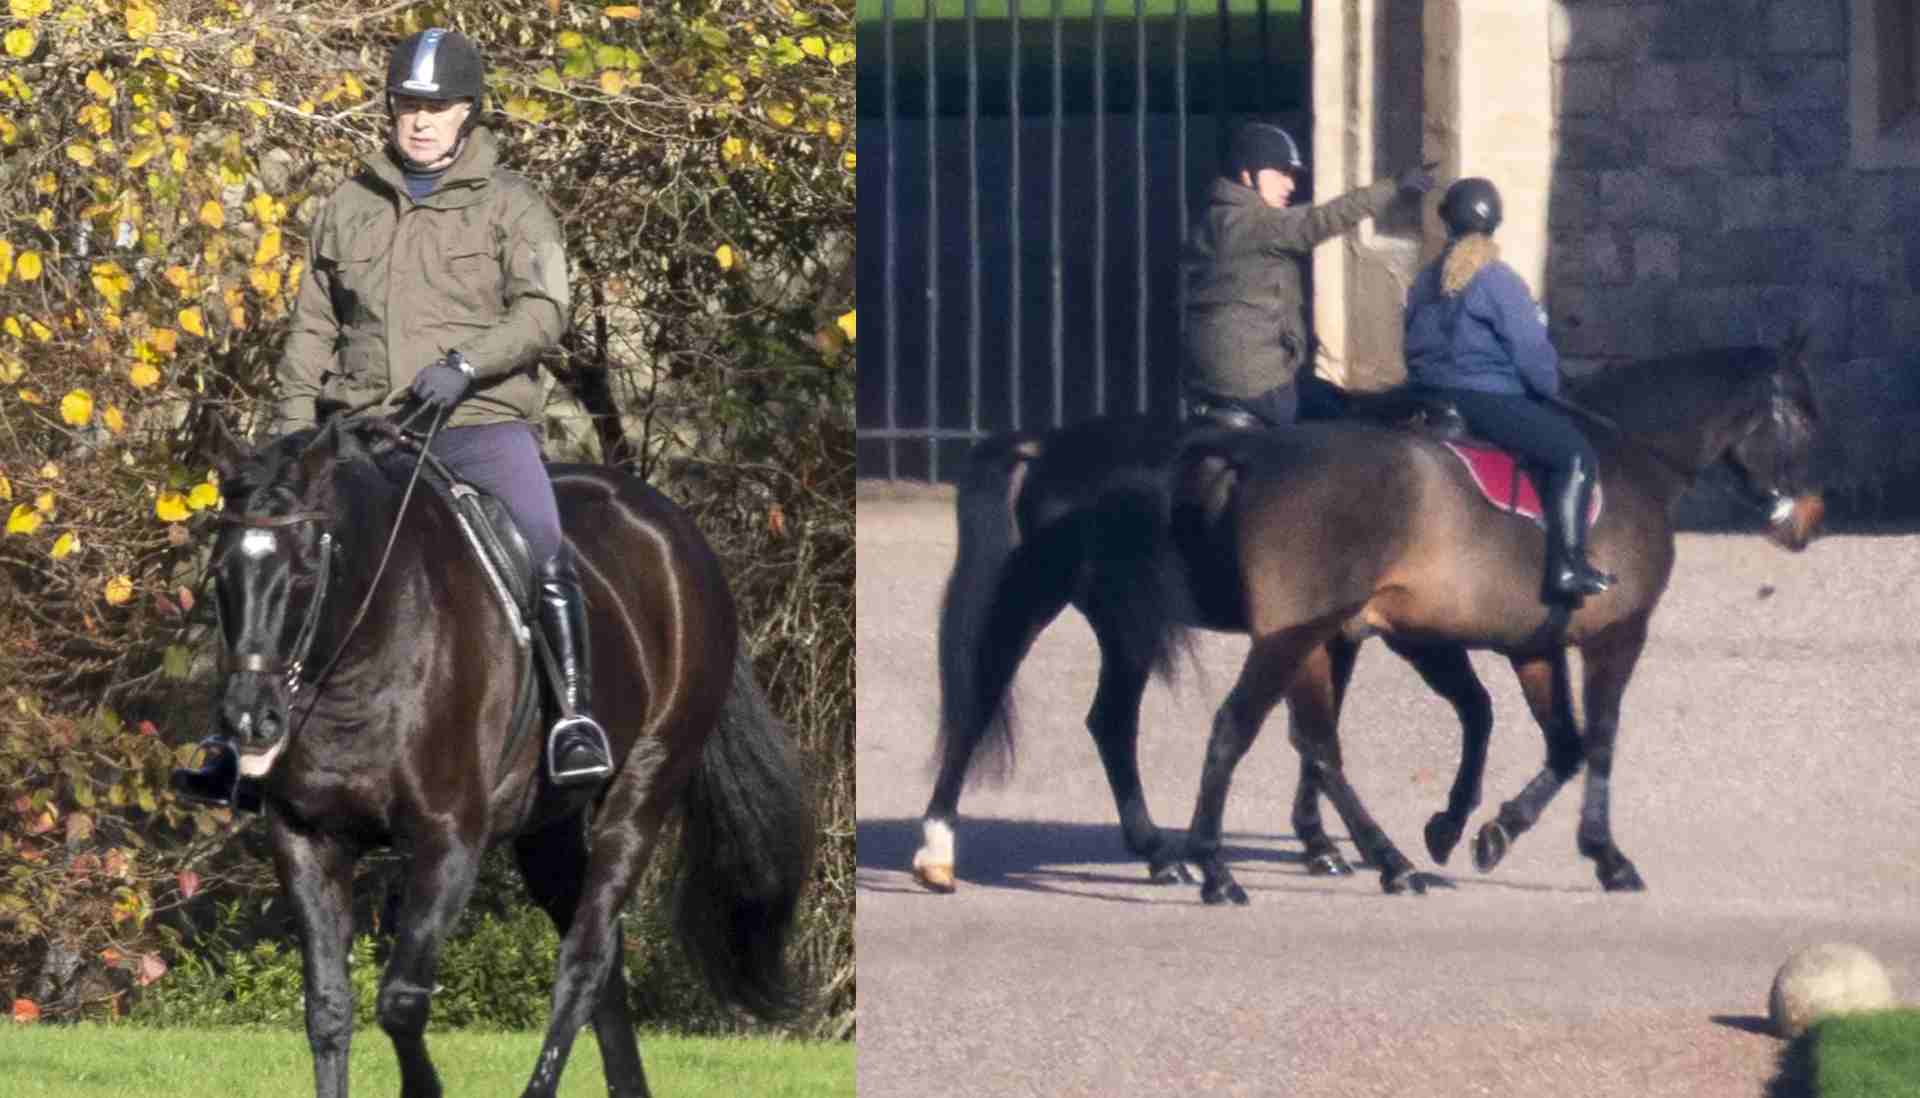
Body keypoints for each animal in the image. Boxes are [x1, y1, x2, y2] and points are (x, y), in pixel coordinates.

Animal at [198, 414, 813, 1098]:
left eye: (306, 571)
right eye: (220, 574)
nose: (250, 719)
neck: (362, 654)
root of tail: (676, 532)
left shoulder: (449, 840)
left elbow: (401, 1000)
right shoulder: (305, 837)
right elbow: (329, 1008)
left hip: (643, 790)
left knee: (584, 960)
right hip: (547, 829)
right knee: (603, 964)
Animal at [913, 332, 1821, 900]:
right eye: (1805, 418)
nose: (1807, 520)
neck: (1624, 461)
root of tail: (1046, 444)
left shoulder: (1502, 643)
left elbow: (1540, 739)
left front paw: (1475, 830)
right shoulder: (1605, 636)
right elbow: (1588, 741)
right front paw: (1599, 855)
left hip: (1130, 620)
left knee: (1110, 721)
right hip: (1099, 610)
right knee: (1027, 705)